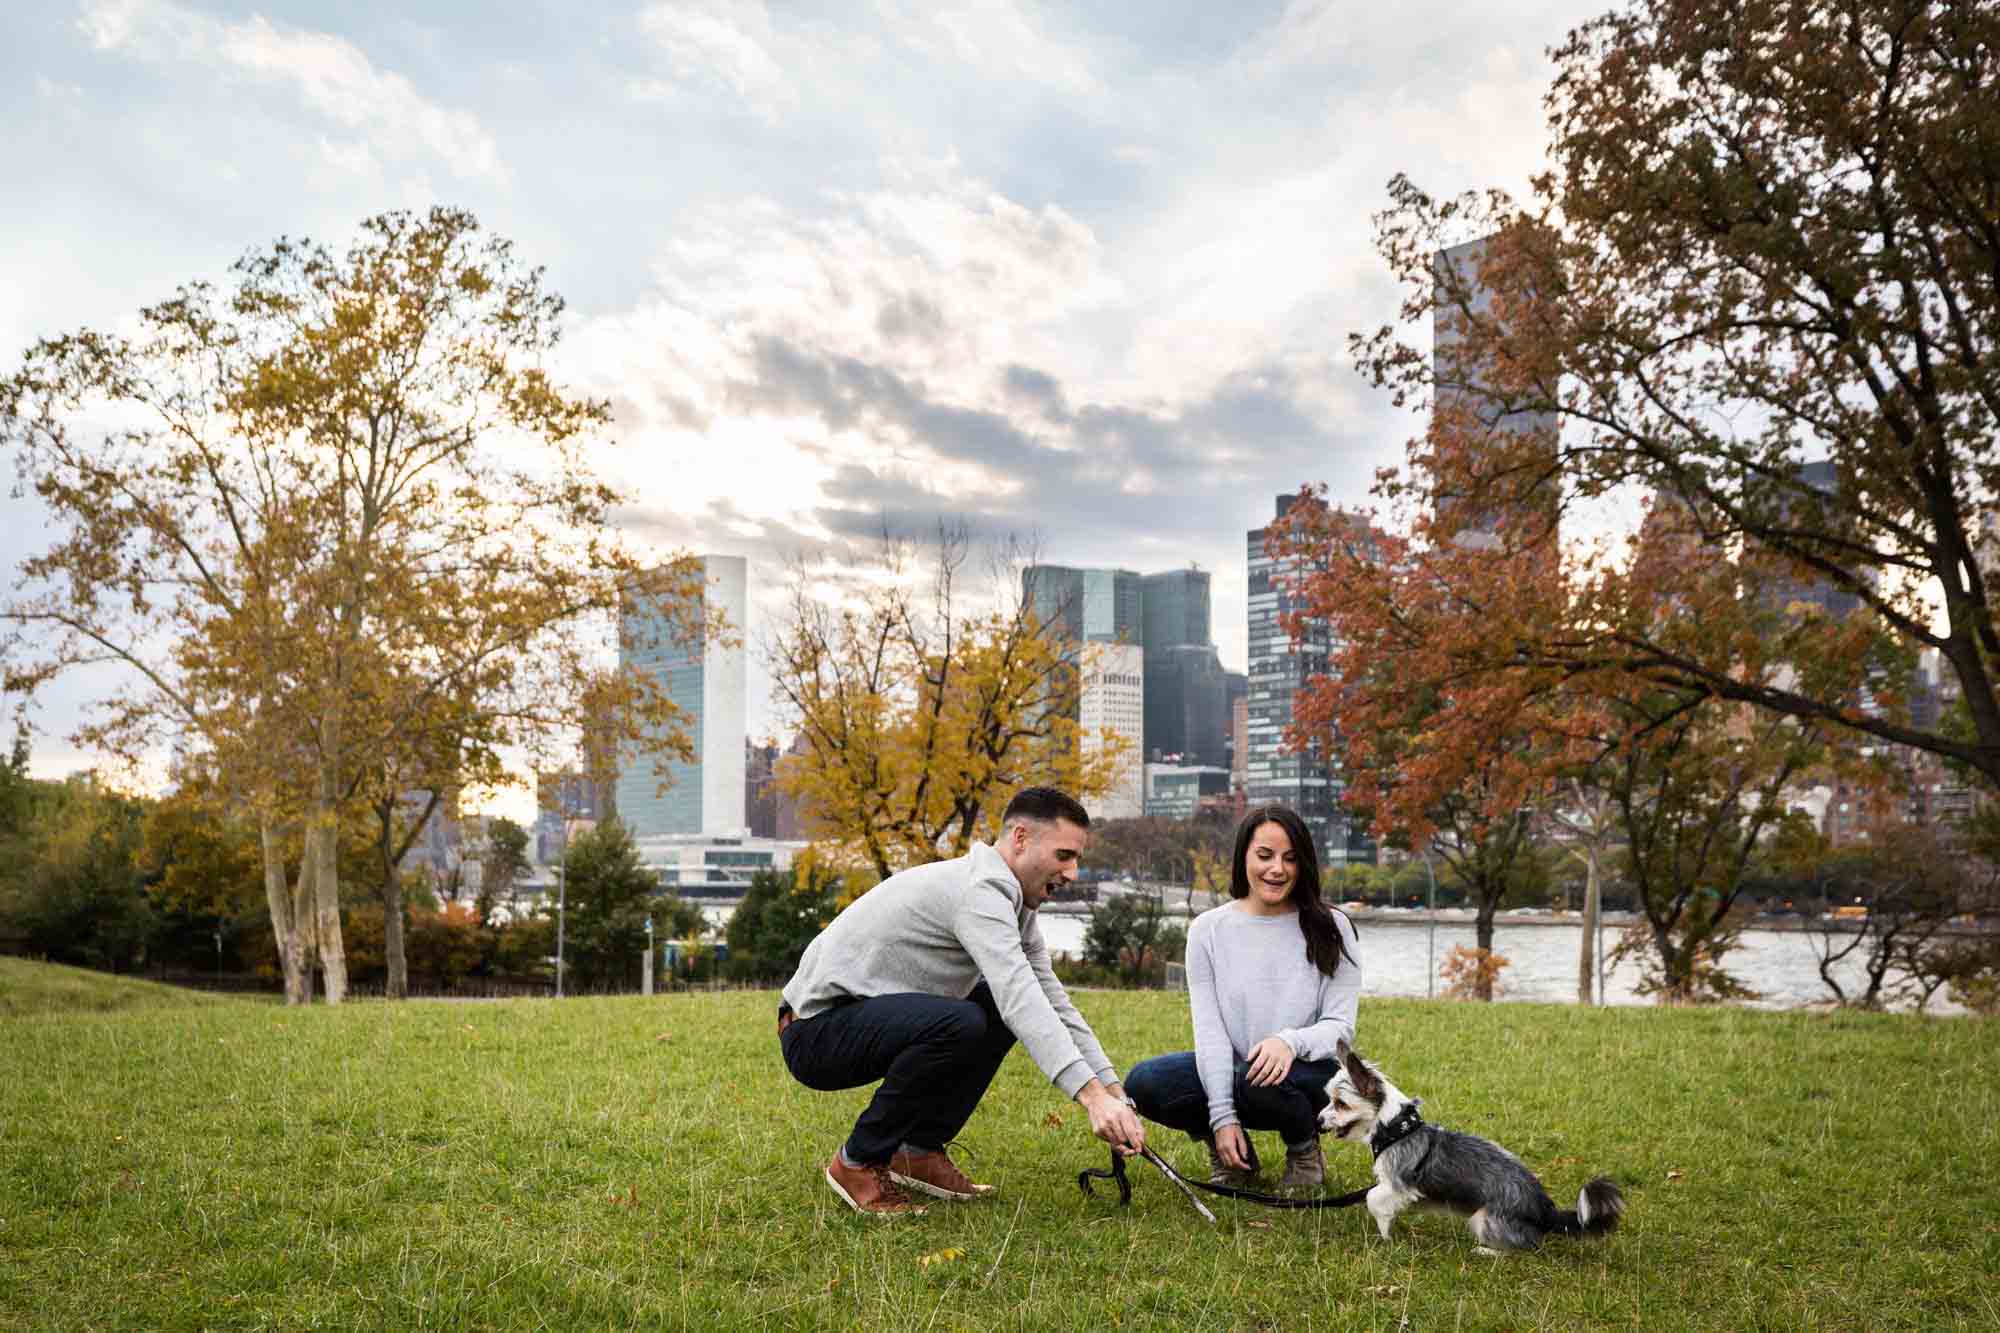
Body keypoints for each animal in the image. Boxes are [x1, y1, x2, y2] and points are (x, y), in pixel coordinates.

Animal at [1312, 1040, 1624, 1248]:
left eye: (1340, 1104)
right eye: (1329, 1099)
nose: (1317, 1120)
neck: (1397, 1129)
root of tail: (1546, 1211)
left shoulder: (1398, 1184)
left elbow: (1373, 1198)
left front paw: (1385, 1232)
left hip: (1483, 1218)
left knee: (1526, 1247)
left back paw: (1486, 1251)